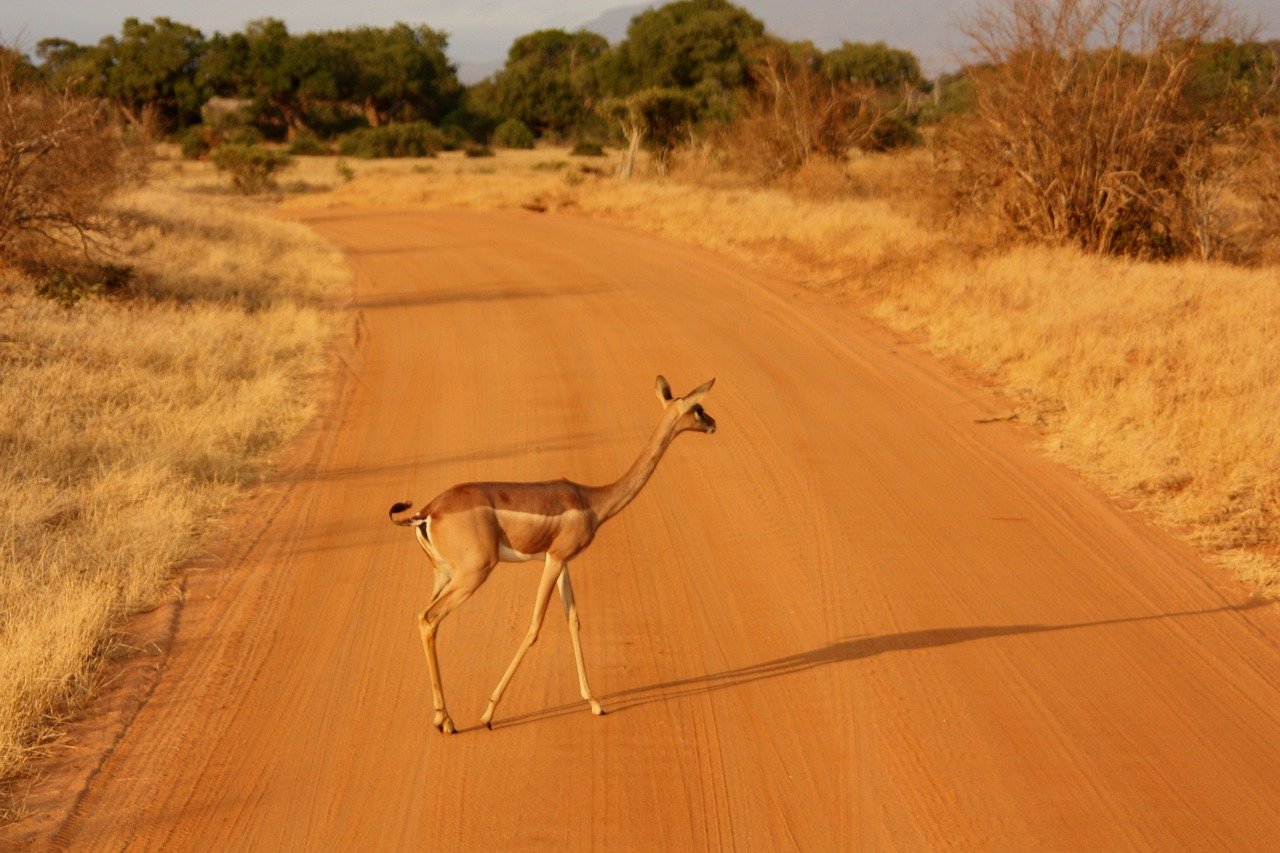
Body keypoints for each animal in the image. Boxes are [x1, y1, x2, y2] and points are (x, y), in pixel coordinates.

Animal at [389, 373, 716, 732]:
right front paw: (488, 714)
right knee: (429, 618)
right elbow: (535, 626)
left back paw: (441, 716)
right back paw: (448, 721)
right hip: (473, 574)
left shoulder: (562, 562)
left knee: (423, 618)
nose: (713, 423)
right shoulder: (555, 558)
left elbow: (573, 620)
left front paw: (595, 703)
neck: (593, 501)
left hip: (444, 574)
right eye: (698, 408)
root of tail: (427, 512)